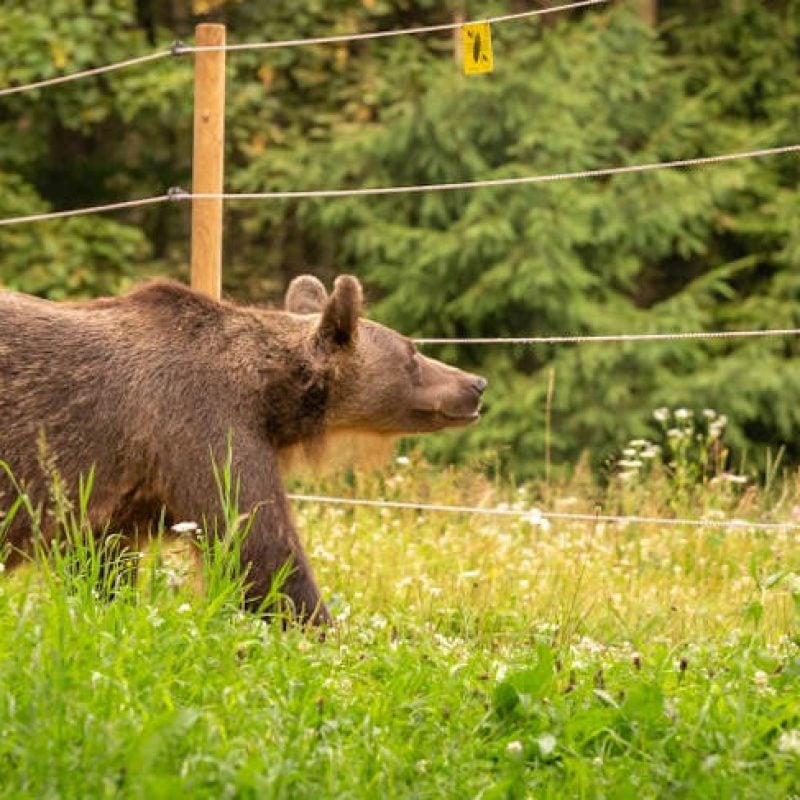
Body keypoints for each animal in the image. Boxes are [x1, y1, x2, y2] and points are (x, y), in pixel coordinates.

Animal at [0, 276, 484, 624]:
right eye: (412, 355)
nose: (476, 384)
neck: (269, 394)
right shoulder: (200, 427)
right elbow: (260, 548)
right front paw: (322, 628)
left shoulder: (117, 492)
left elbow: (102, 562)